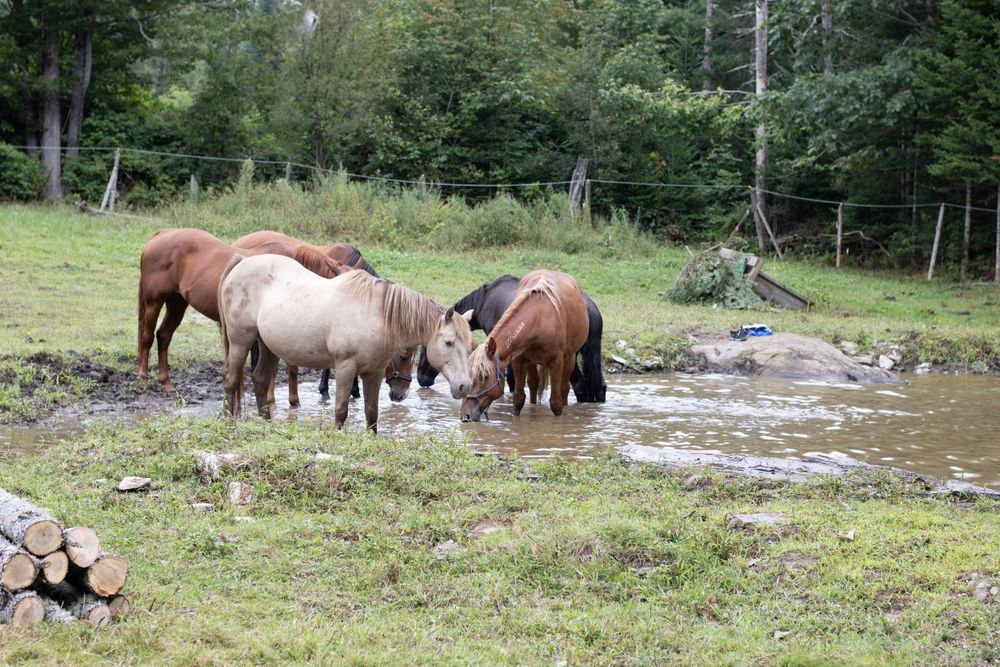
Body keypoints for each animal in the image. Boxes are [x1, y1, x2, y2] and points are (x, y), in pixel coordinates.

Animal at [218, 254, 473, 432]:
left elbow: (372, 413)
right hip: (240, 341)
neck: (374, 314)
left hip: (268, 346)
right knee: (231, 380)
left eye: (469, 347)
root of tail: (242, 262)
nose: (464, 386)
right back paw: (229, 421)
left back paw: (266, 424)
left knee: (260, 380)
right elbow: (341, 410)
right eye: (449, 342)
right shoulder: (345, 368)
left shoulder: (374, 373)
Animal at [418, 274, 607, 403]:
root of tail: (589, 309)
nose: (421, 379)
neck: (483, 301)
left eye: (425, 347)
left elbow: (509, 378)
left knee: (580, 385)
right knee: (599, 386)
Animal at [459, 270, 589, 422]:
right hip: (531, 362)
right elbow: (518, 400)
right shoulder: (518, 360)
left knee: (564, 390)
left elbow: (556, 404)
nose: (465, 415)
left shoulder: (556, 363)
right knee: (533, 385)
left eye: (484, 376)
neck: (539, 319)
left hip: (570, 358)